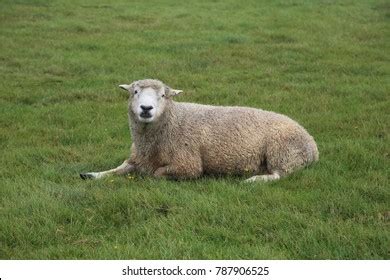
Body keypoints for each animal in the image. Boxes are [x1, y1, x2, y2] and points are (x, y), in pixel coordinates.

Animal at [80, 80, 318, 183]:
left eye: (163, 95)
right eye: (135, 92)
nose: (146, 108)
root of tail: (313, 146)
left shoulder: (188, 165)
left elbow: (156, 174)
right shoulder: (137, 158)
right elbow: (117, 169)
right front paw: (92, 174)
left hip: (284, 153)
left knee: (280, 175)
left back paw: (253, 180)